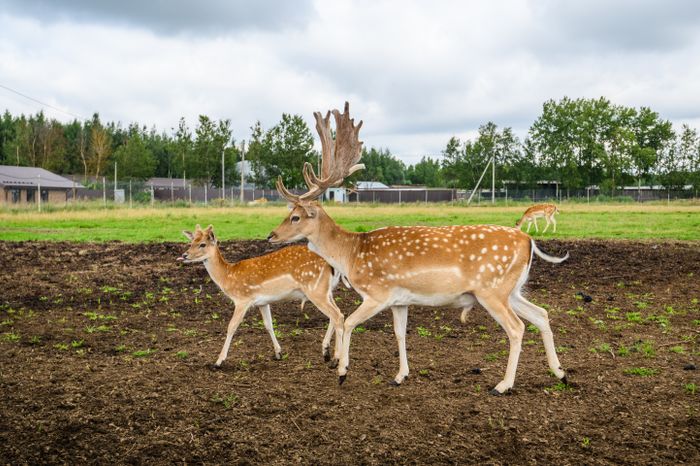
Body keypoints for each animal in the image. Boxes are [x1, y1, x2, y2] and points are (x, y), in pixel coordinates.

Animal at [178, 224, 345, 368]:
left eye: (202, 244)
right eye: (191, 242)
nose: (184, 255)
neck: (228, 277)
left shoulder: (242, 299)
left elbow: (232, 326)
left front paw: (218, 361)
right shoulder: (262, 302)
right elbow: (268, 324)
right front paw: (278, 353)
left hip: (315, 289)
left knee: (337, 315)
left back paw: (336, 359)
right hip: (326, 290)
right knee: (338, 313)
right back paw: (326, 353)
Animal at [267, 102, 569, 395]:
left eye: (295, 217)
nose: (271, 235)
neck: (352, 254)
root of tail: (528, 240)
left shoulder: (378, 293)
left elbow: (348, 321)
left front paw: (342, 371)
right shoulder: (400, 300)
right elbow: (400, 333)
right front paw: (400, 376)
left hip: (492, 290)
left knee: (517, 328)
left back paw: (503, 385)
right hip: (512, 289)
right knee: (541, 314)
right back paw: (560, 373)